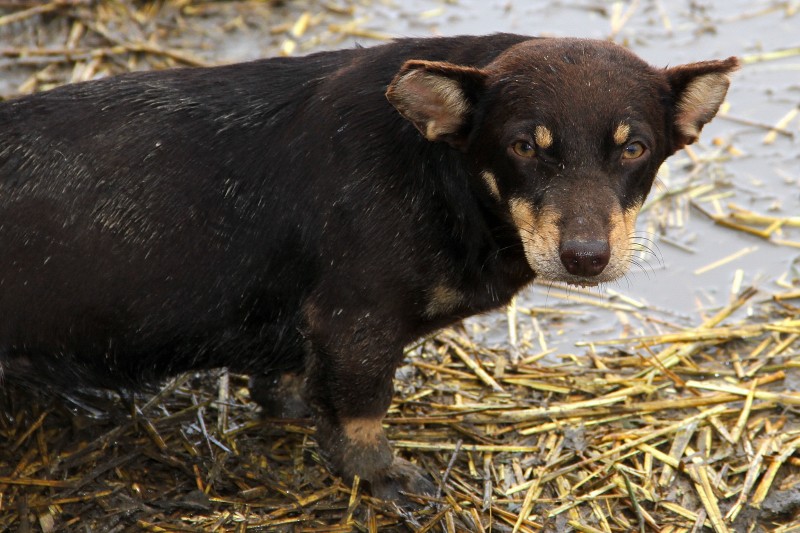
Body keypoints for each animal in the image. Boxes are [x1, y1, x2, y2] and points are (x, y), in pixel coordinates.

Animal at [0, 33, 736, 498]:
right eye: (525, 145)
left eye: (634, 147)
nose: (586, 257)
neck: (439, 178)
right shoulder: (358, 319)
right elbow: (362, 411)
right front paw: (383, 475)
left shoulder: (307, 325)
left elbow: (292, 381)